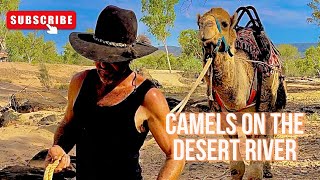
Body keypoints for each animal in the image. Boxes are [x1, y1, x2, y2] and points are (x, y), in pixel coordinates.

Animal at [198, 6, 288, 179]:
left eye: (224, 23)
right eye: (199, 23)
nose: (206, 30)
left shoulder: (262, 111)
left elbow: (254, 172)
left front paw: (261, 170)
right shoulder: (223, 118)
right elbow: (236, 168)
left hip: (275, 110)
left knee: (270, 136)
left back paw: (268, 169)